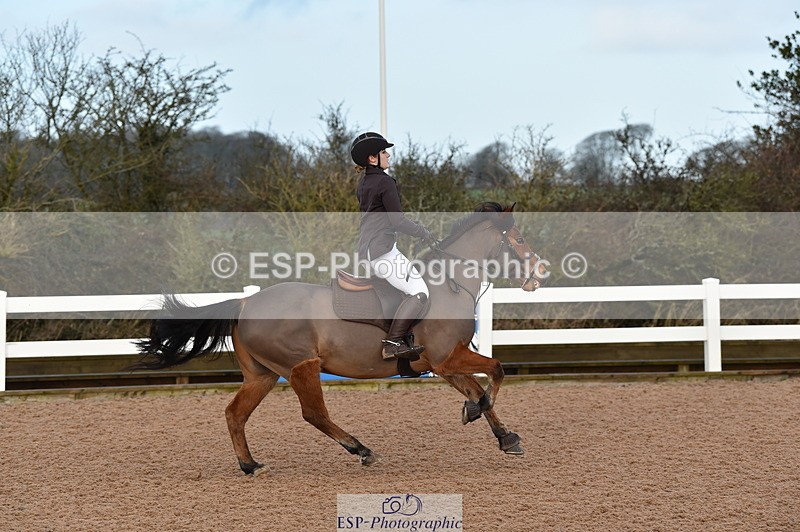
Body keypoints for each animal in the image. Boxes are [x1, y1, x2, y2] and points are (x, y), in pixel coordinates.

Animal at [131, 202, 547, 476]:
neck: (449, 284)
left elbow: (478, 388)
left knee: (236, 413)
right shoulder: (448, 357)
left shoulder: (442, 364)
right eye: (518, 238)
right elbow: (496, 370)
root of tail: (248, 302)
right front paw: (479, 414)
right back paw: (361, 449)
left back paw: (249, 465)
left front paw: (503, 436)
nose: (539, 273)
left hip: (263, 374)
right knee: (314, 414)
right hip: (302, 366)